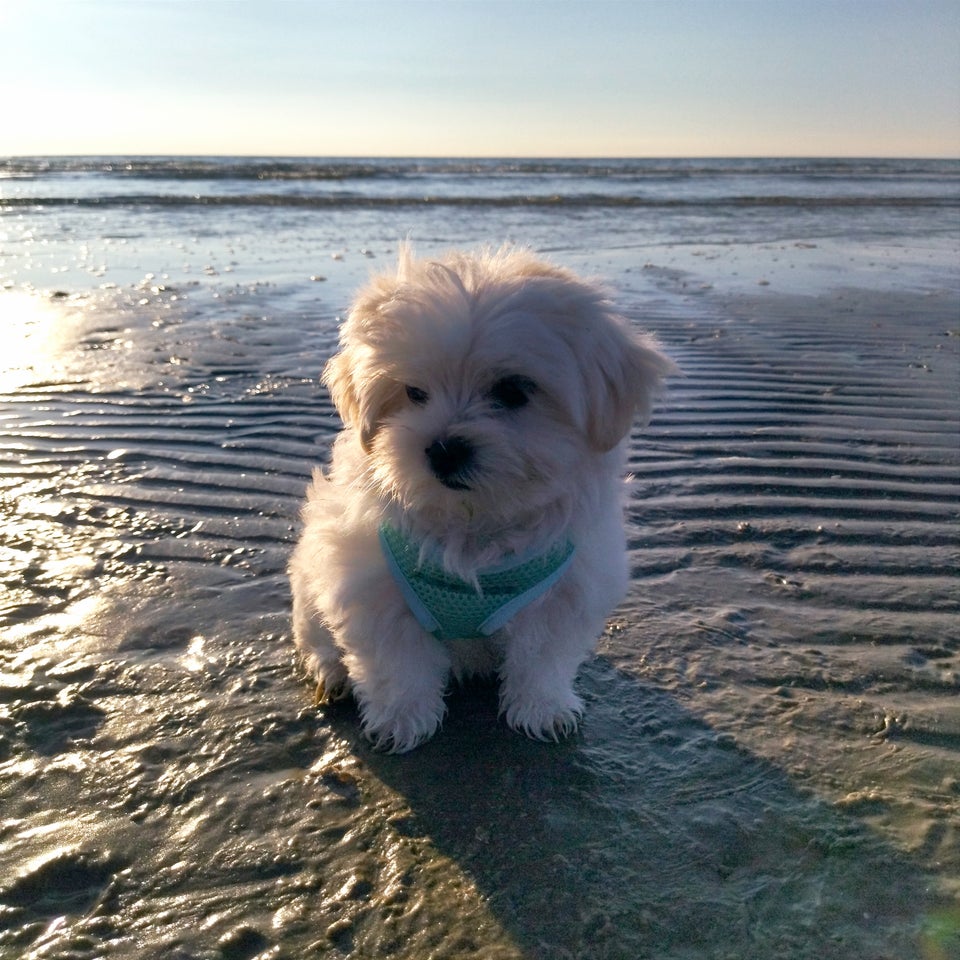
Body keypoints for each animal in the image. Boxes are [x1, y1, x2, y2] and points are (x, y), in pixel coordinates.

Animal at [290, 246, 676, 752]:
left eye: (512, 391)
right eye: (414, 392)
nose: (443, 449)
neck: (473, 522)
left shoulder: (563, 593)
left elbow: (542, 660)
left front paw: (542, 709)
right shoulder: (372, 586)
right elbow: (397, 664)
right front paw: (402, 719)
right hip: (308, 581)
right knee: (316, 636)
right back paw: (331, 672)